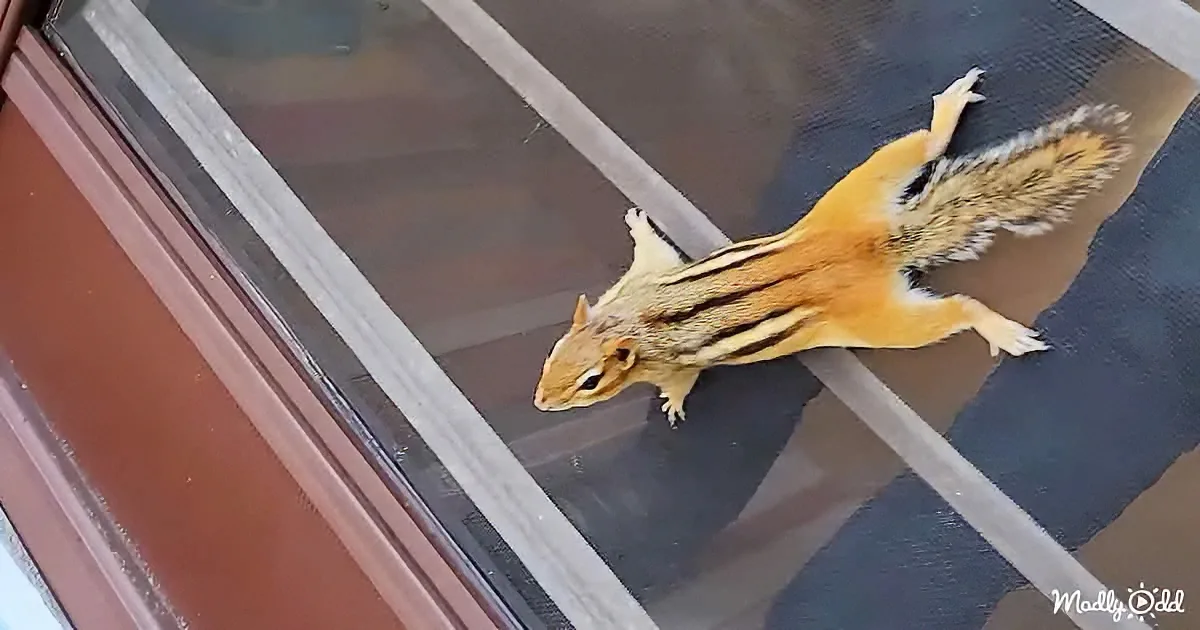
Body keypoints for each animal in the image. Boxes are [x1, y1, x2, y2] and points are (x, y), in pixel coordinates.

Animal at [533, 68, 1132, 426]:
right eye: (553, 353)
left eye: (590, 383)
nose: (540, 401)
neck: (626, 324)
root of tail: (877, 244)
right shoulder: (635, 282)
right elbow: (653, 252)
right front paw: (638, 223)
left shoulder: (668, 359)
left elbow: (684, 378)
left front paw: (673, 404)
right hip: (858, 189)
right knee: (924, 148)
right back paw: (948, 110)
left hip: (882, 322)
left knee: (957, 310)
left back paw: (997, 328)